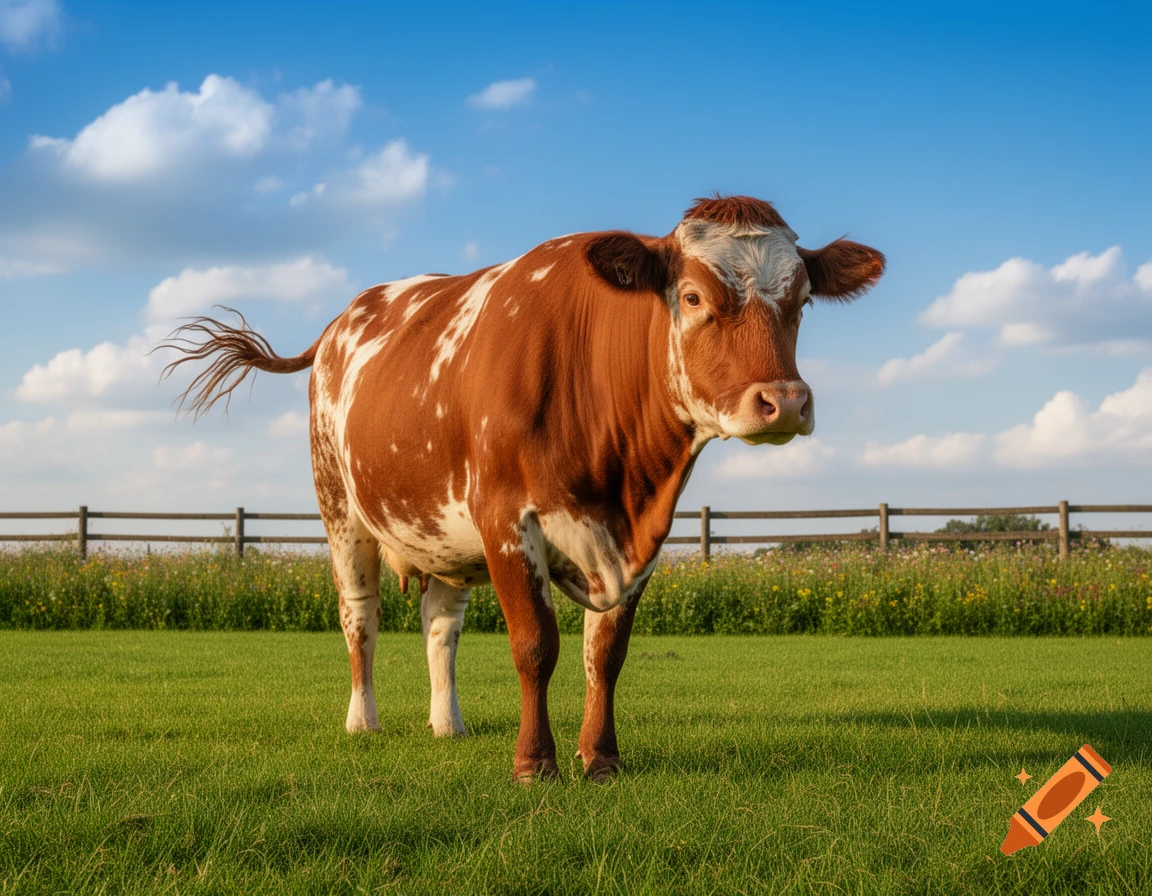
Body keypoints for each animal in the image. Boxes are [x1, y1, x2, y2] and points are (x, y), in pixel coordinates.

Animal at [160, 195, 884, 781]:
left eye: (801, 303)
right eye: (693, 298)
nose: (784, 402)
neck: (623, 479)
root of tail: (342, 321)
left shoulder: (641, 539)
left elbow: (605, 654)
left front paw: (602, 759)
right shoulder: (507, 520)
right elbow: (536, 646)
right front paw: (536, 763)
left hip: (442, 533)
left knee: (439, 623)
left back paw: (447, 724)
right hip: (340, 509)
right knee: (359, 615)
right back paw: (363, 720)